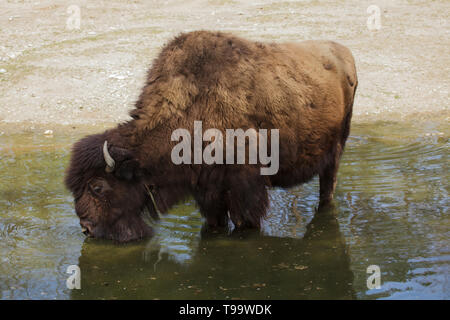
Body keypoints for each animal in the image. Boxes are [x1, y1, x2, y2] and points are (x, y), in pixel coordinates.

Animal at [65, 30, 356, 242]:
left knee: (327, 187)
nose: (86, 228)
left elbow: (245, 220)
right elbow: (215, 221)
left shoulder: (245, 190)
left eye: (97, 187)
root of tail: (344, 52)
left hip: (336, 151)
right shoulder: (207, 191)